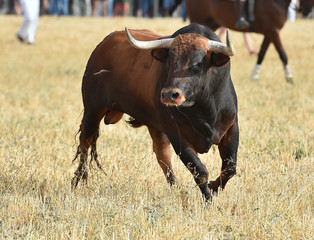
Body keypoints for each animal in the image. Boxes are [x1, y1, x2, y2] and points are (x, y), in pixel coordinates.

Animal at [71, 23, 238, 201]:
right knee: (85, 142)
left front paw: (213, 187)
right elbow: (200, 171)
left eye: (198, 63)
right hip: (93, 109)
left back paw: (175, 188)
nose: (169, 95)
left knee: (162, 154)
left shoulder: (232, 127)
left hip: (154, 123)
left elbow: (230, 168)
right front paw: (209, 200)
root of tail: (102, 46)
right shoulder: (176, 134)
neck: (204, 108)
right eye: (169, 62)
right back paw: (79, 181)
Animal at [172, 0, 300, 82]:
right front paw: (289, 77)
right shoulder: (273, 31)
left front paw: (254, 75)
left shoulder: (270, 32)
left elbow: (262, 54)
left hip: (211, 24)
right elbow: (282, 54)